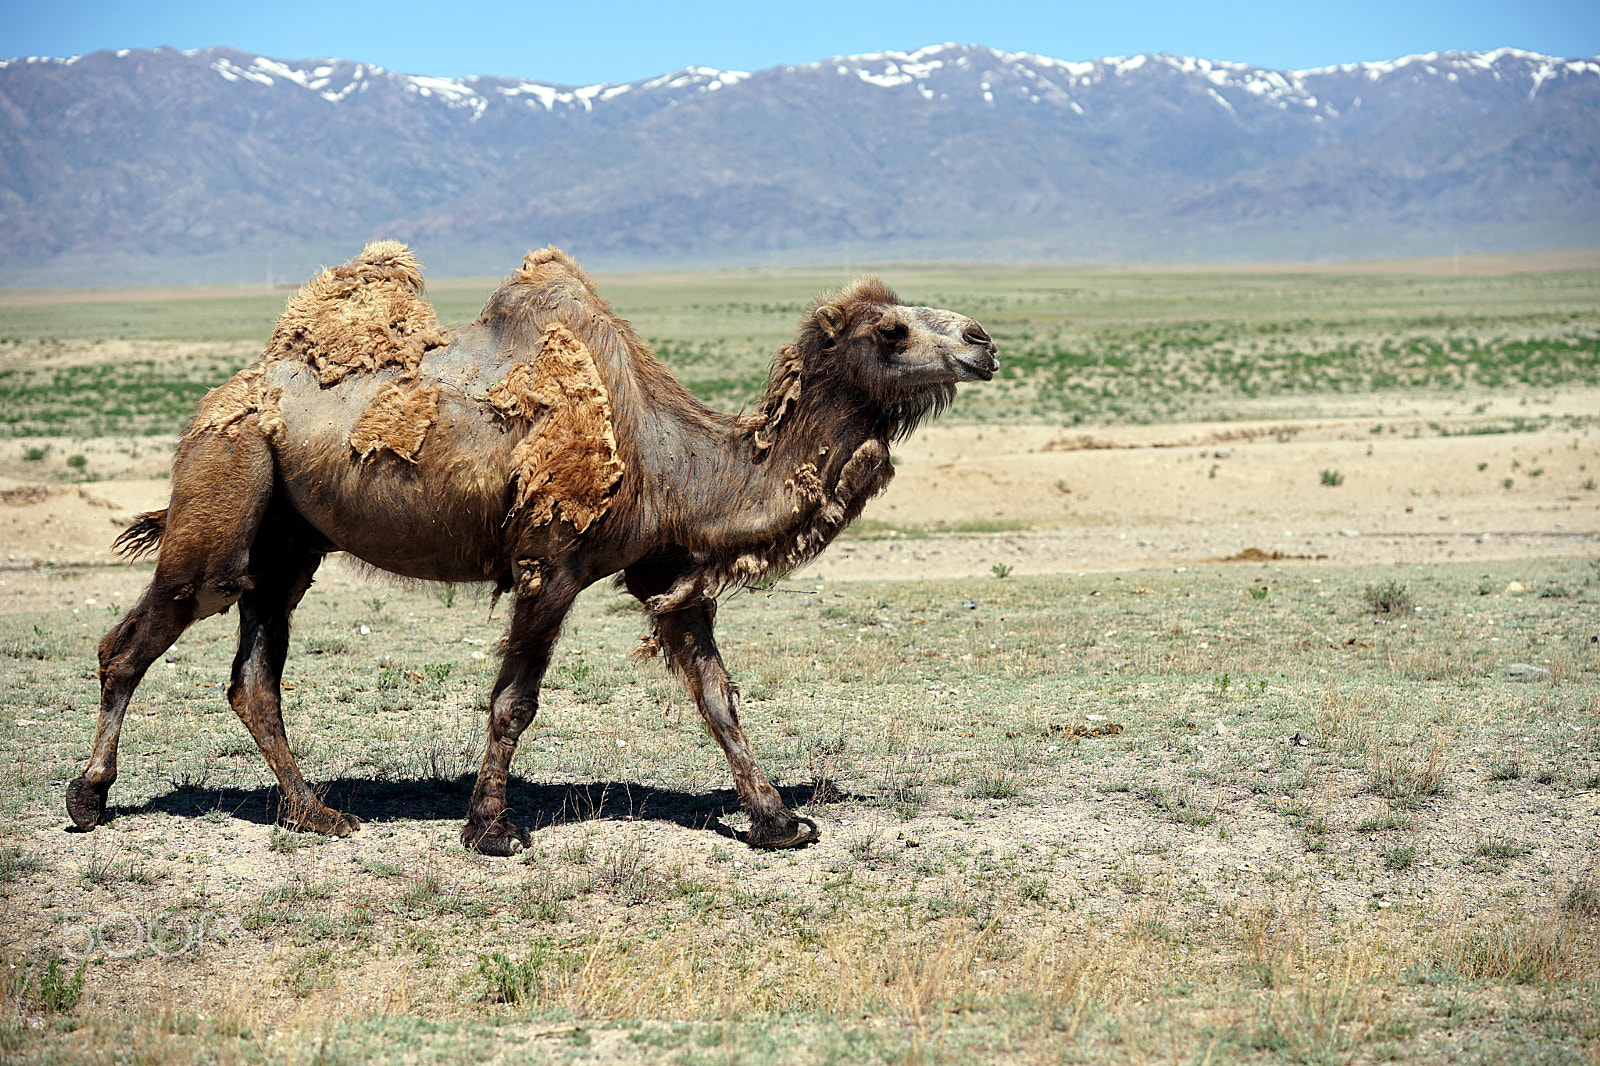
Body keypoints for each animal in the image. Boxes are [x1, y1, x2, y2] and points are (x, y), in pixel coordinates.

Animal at [68, 236, 992, 851]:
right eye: (891, 331)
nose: (982, 341)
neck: (676, 462)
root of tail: (228, 394)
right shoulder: (552, 564)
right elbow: (515, 700)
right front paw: (491, 830)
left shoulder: (667, 570)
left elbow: (719, 696)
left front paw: (777, 820)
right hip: (226, 478)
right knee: (142, 633)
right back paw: (89, 799)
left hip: (291, 538)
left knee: (254, 674)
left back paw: (319, 813)